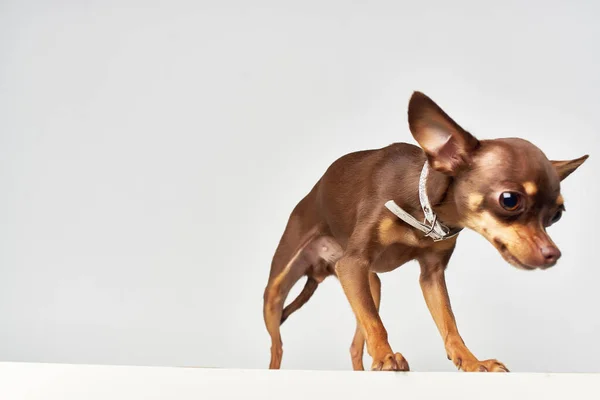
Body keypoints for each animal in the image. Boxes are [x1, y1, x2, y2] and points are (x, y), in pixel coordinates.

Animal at [262, 90, 584, 372]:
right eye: (509, 200)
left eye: (556, 215)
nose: (553, 254)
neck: (426, 209)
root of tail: (322, 268)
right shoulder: (352, 263)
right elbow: (377, 324)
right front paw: (387, 358)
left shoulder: (431, 275)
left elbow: (449, 324)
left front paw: (472, 362)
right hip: (278, 292)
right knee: (277, 346)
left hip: (369, 284)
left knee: (356, 342)